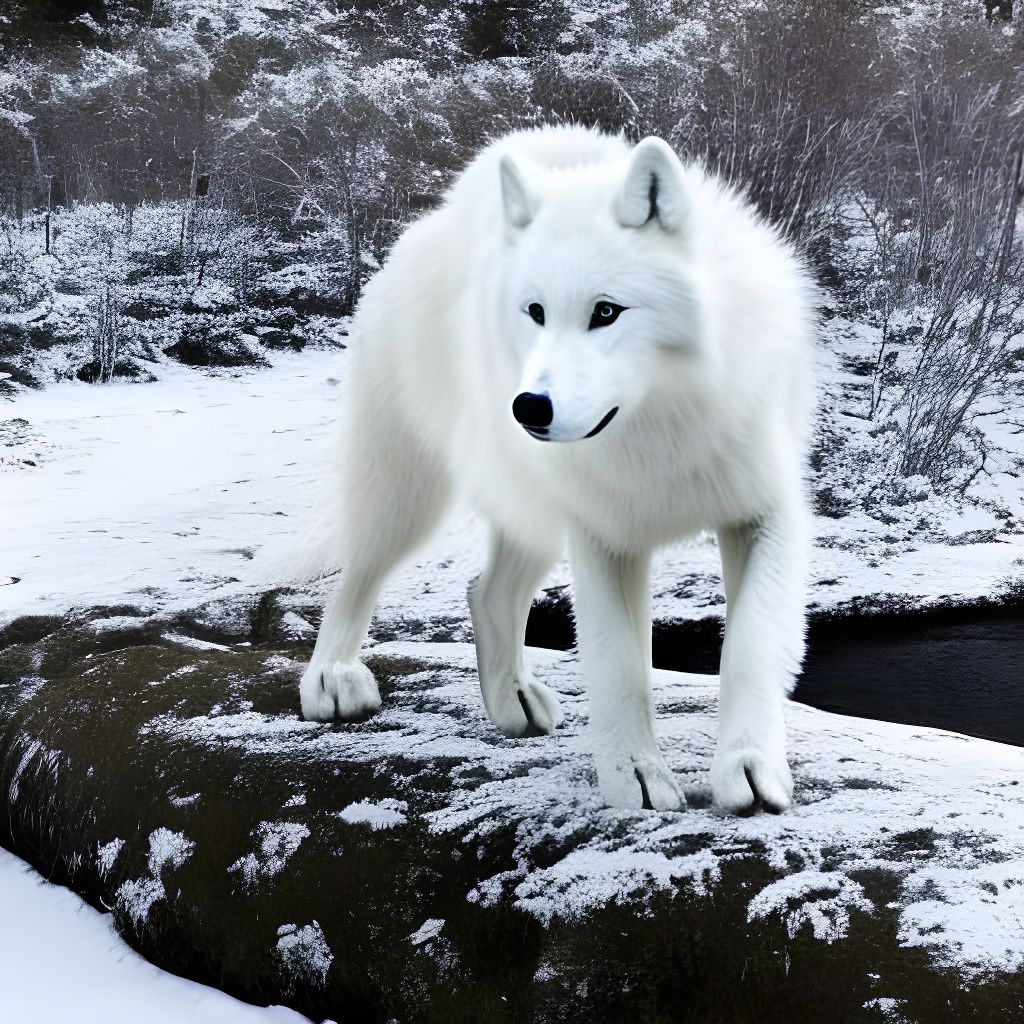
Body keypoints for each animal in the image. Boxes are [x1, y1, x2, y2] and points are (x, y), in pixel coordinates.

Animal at [299, 124, 815, 814]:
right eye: (535, 311)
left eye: (606, 311)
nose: (528, 407)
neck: (659, 426)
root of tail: (429, 226)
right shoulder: (603, 533)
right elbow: (619, 665)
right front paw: (636, 778)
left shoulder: (764, 513)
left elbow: (751, 648)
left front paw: (751, 769)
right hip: (410, 496)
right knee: (355, 576)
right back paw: (332, 679)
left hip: (533, 518)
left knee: (486, 591)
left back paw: (512, 700)